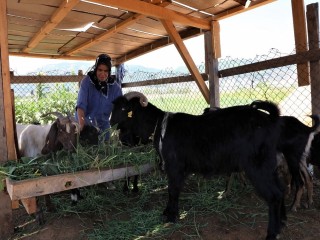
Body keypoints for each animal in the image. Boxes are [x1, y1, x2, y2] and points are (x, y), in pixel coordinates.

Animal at [111, 92, 286, 240]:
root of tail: (270, 119)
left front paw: (171, 216)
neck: (159, 125)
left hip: (258, 166)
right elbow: (173, 190)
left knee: (274, 196)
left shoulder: (174, 167)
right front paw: (167, 212)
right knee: (280, 190)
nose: (111, 123)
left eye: (124, 108)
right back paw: (282, 222)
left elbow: (172, 190)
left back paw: (272, 233)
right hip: (269, 166)